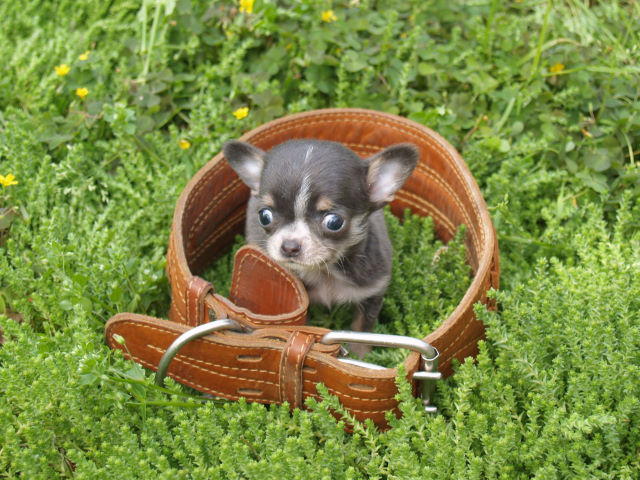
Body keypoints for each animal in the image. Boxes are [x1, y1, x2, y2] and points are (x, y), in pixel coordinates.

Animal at [222, 139, 418, 356]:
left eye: (334, 222)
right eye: (264, 216)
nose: (289, 246)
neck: (326, 272)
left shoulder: (372, 294)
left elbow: (361, 332)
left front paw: (360, 357)